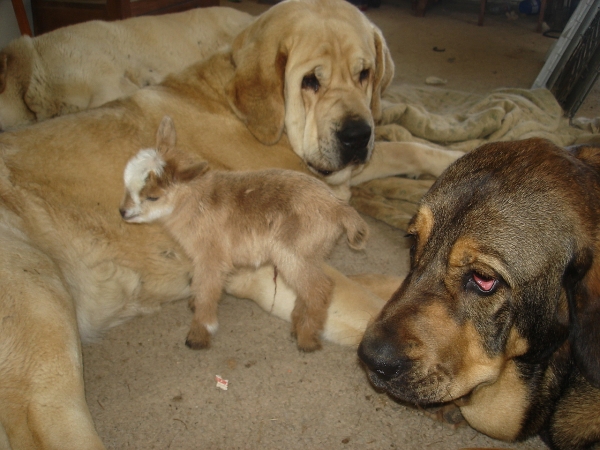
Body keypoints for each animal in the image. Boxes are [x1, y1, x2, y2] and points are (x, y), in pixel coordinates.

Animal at [119, 116, 368, 352]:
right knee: (308, 288)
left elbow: (207, 291)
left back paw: (307, 339)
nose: (123, 212)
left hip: (294, 252)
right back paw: (298, 324)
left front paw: (199, 334)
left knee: (320, 288)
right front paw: (194, 304)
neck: (197, 201)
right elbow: (200, 285)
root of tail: (339, 208)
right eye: (126, 186)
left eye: (153, 197)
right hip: (313, 252)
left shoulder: (212, 256)